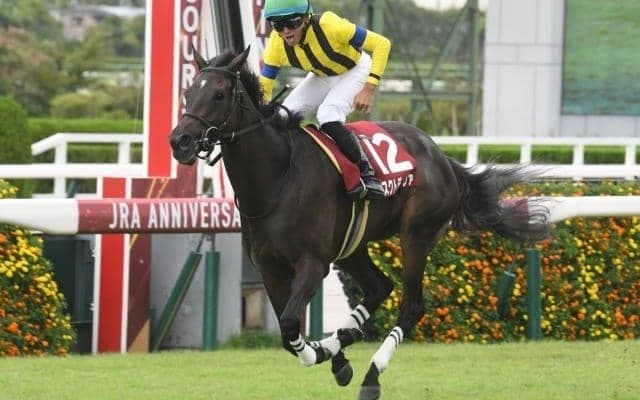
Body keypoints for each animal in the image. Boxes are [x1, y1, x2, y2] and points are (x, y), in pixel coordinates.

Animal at [169, 47, 551, 400]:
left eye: (219, 94)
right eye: (187, 92)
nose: (180, 141)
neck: (278, 179)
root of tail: (441, 156)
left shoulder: (313, 263)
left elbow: (291, 325)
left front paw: (326, 354)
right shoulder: (269, 268)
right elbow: (287, 332)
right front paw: (331, 353)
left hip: (417, 235)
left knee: (411, 306)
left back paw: (371, 376)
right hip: (352, 247)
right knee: (380, 287)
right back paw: (344, 341)